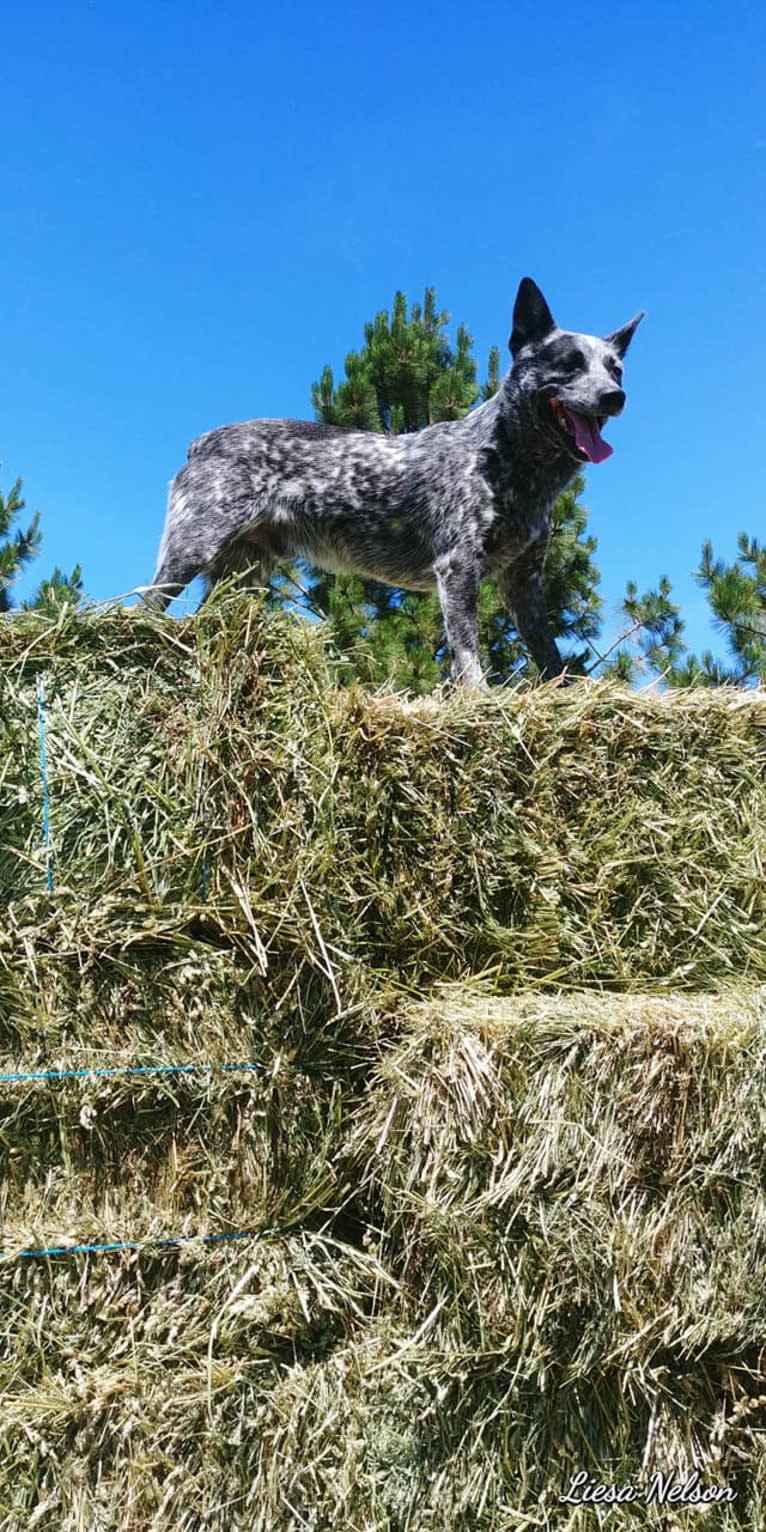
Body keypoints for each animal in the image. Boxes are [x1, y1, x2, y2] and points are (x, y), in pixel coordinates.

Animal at [146, 275, 643, 683]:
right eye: (569, 363)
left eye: (615, 368)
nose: (615, 396)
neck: (509, 459)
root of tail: (202, 441)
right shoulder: (458, 568)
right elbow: (469, 657)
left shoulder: (524, 584)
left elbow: (552, 660)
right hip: (191, 550)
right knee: (146, 606)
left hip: (244, 574)